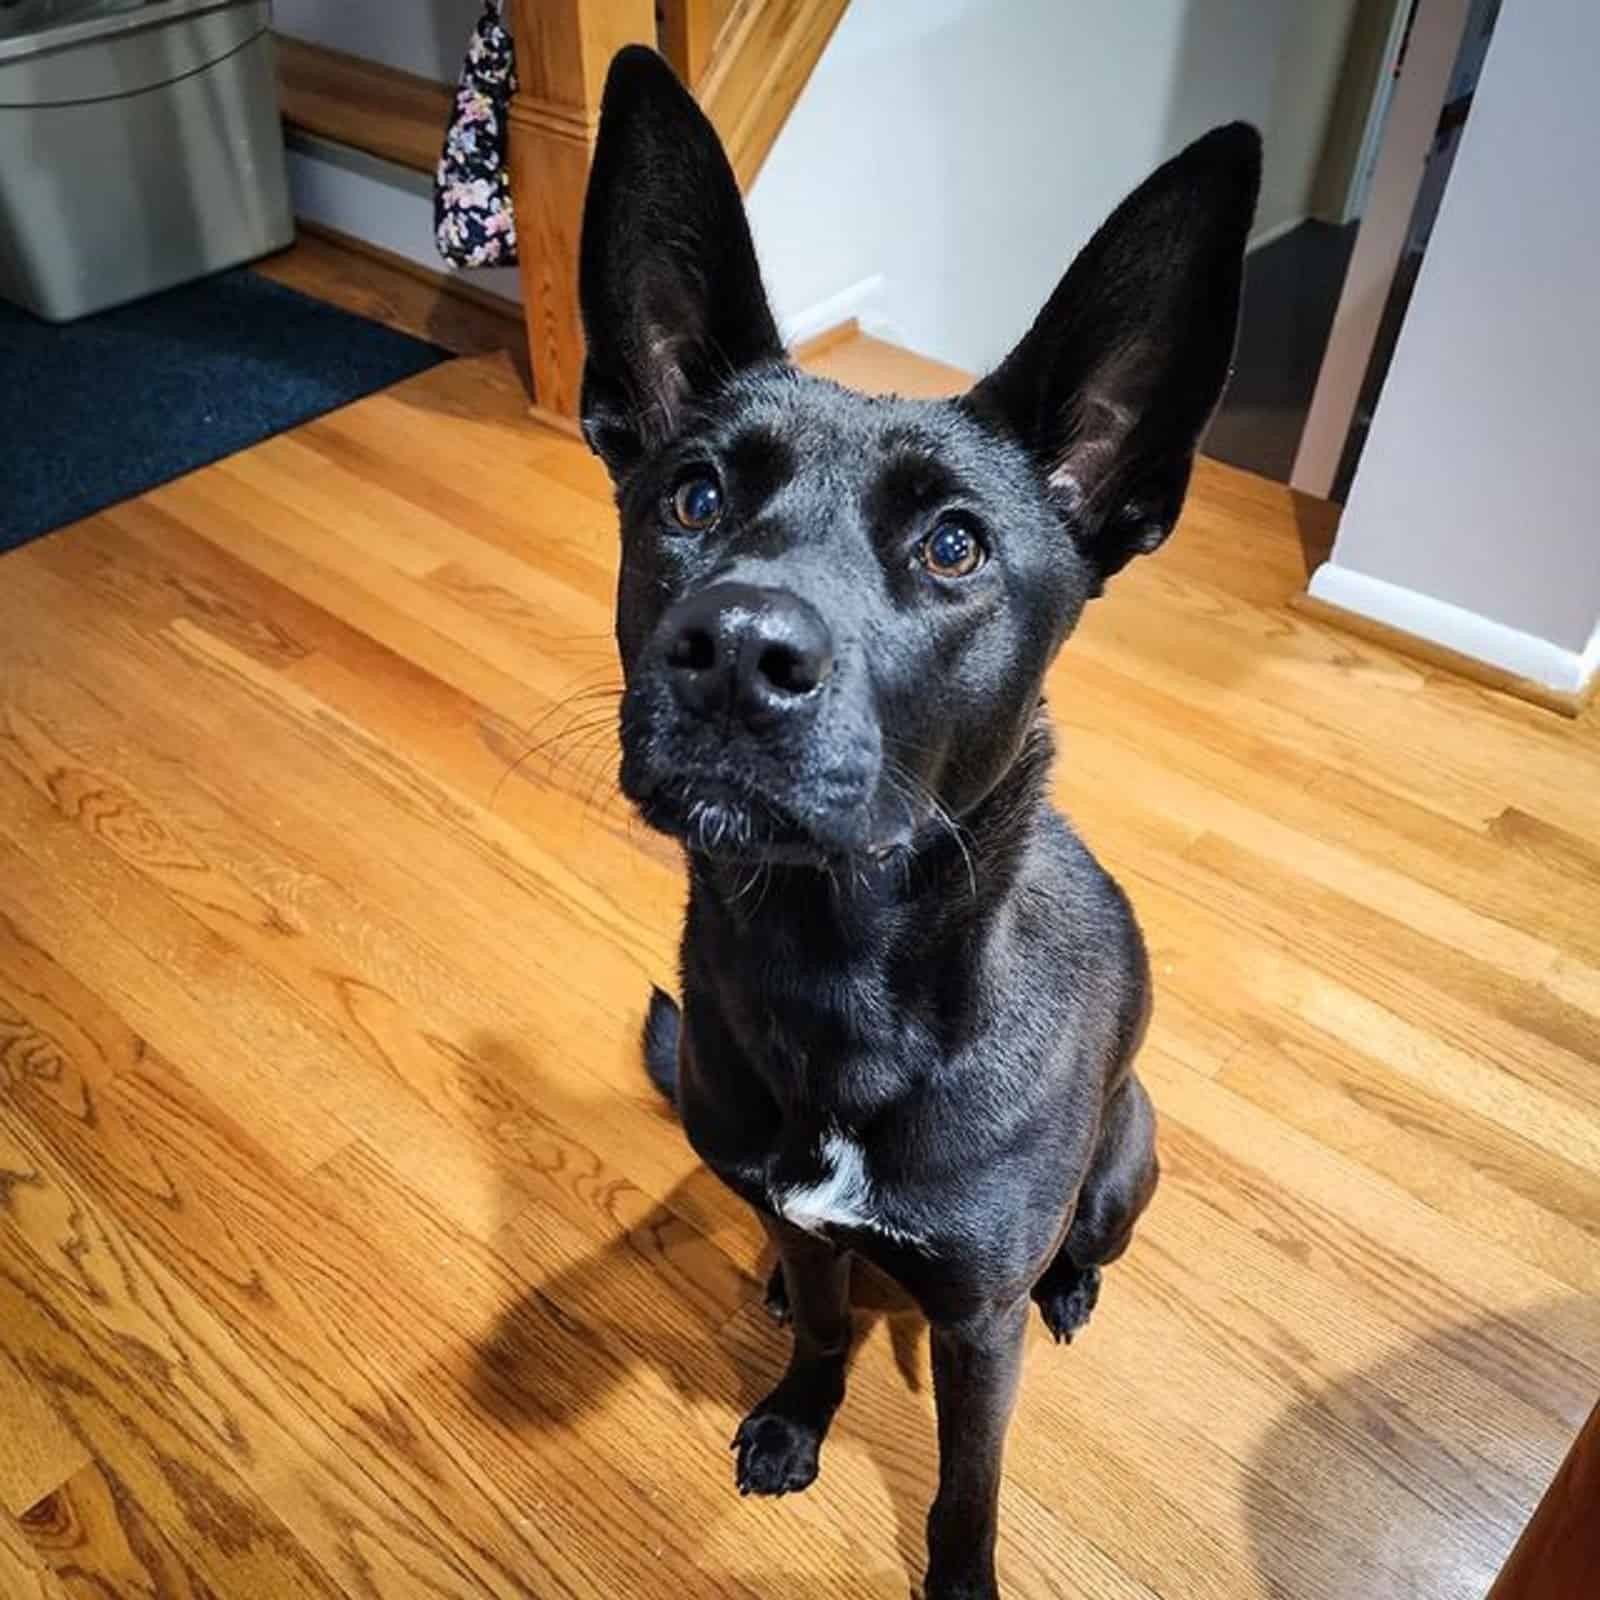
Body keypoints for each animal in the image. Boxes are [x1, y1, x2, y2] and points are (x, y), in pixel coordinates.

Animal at [576, 43, 1260, 1593]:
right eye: (690, 497)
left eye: (954, 546)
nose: (735, 651)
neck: (835, 980)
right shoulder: (805, 1217)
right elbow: (831, 1317)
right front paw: (797, 1410)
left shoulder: (972, 1318)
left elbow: (967, 1481)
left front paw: (959, 1574)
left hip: (1125, 1157)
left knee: (1089, 1241)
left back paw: (1078, 1280)